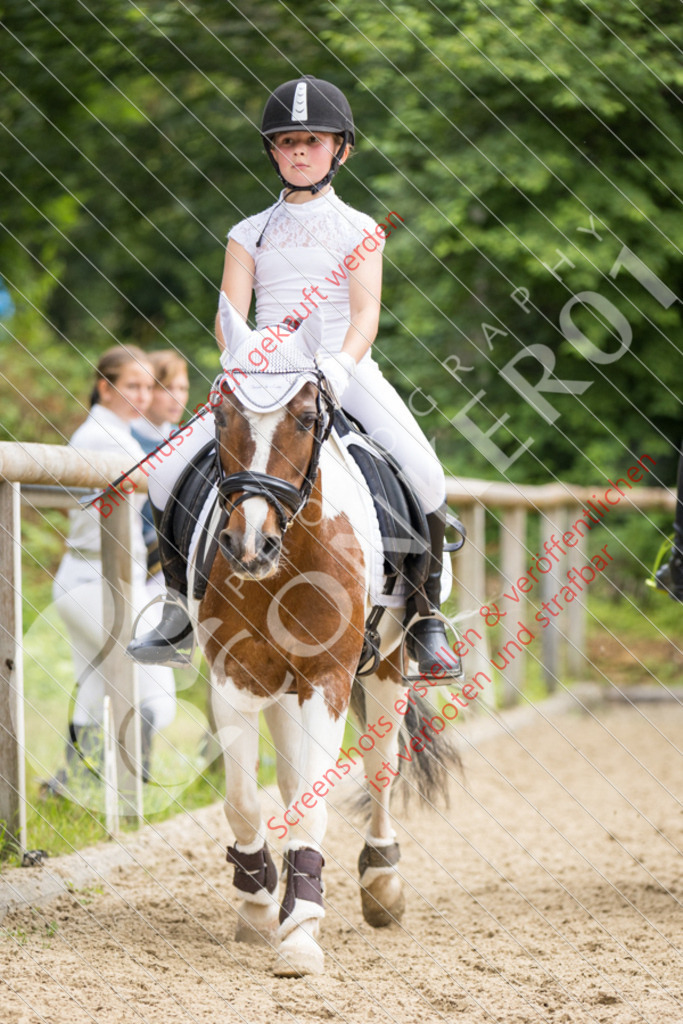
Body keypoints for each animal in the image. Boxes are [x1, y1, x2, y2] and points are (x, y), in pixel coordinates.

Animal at [189, 301, 456, 974]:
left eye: (306, 419)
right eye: (221, 415)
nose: (250, 545)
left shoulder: (329, 679)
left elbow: (315, 800)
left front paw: (301, 932)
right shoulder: (233, 676)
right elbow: (244, 799)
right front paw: (260, 904)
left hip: (386, 667)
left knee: (382, 765)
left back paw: (381, 884)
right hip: (284, 687)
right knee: (287, 778)